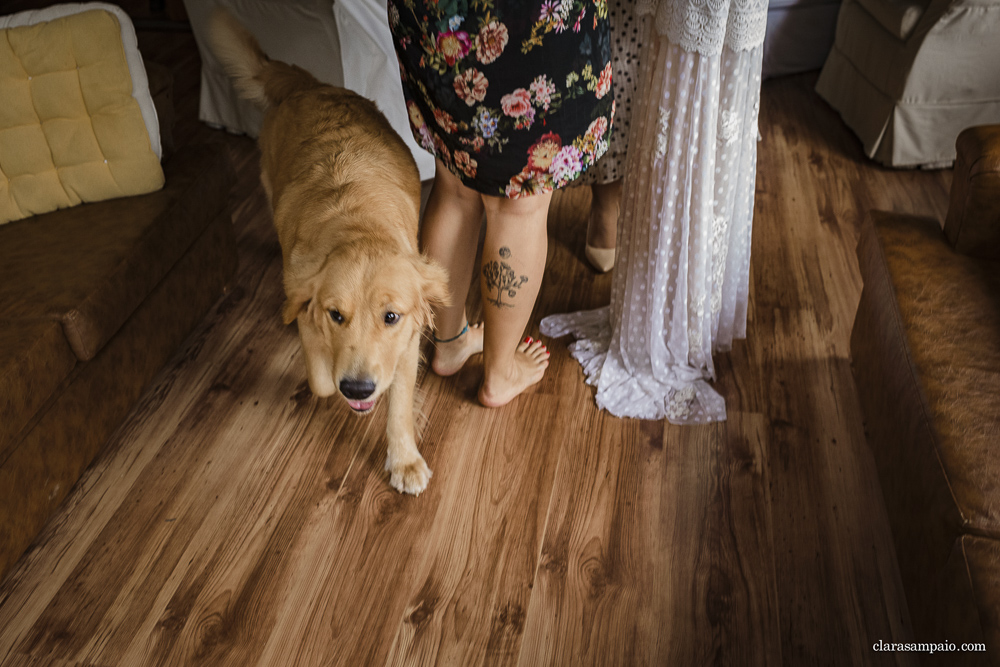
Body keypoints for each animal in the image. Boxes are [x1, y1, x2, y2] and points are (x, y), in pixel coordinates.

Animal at [209, 7, 448, 494]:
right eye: (336, 314)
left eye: (391, 317)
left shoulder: (407, 340)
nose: (357, 390)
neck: (358, 226)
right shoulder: (303, 297)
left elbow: (398, 402)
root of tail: (309, 85)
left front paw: (404, 459)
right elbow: (319, 378)